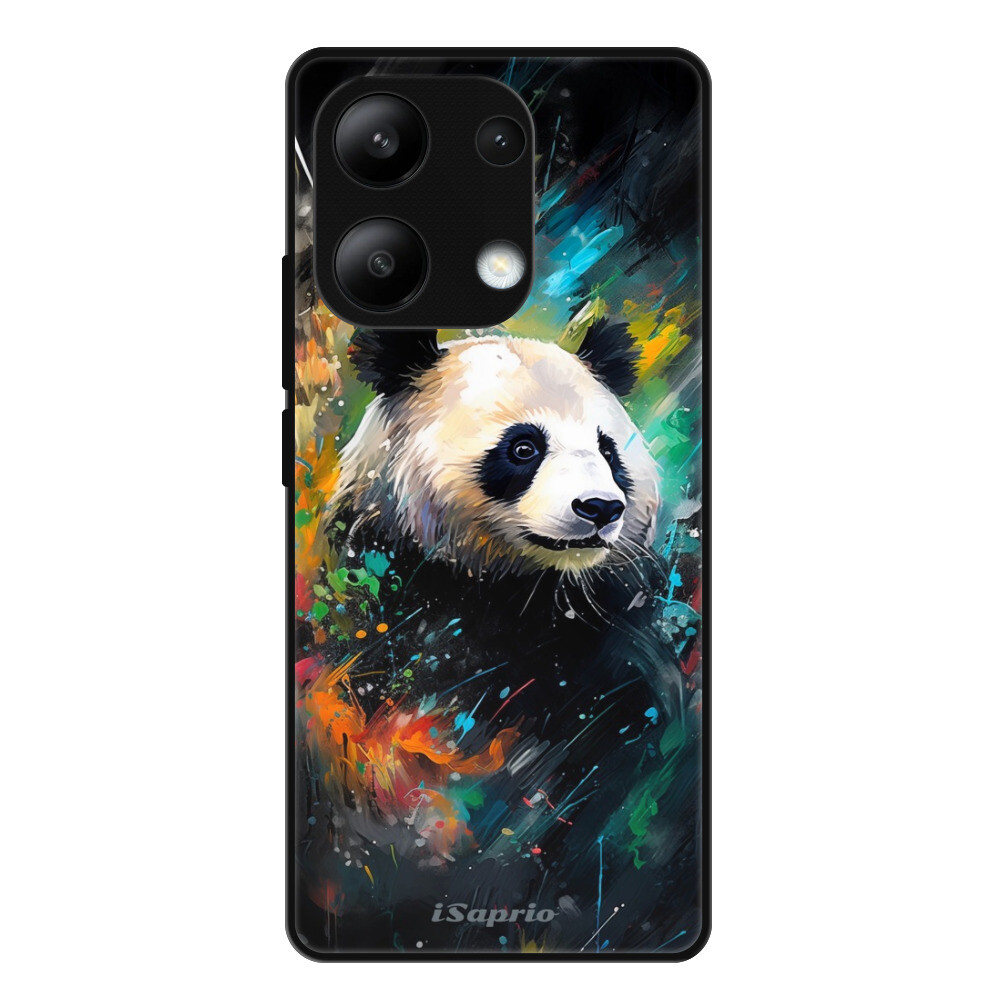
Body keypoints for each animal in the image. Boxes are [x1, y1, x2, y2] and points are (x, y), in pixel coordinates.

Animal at [295, 321, 702, 954]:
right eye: (524, 448)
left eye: (608, 450)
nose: (600, 508)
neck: (516, 588)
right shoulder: (382, 606)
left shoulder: (611, 639)